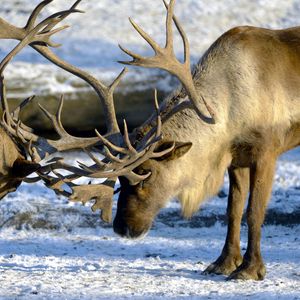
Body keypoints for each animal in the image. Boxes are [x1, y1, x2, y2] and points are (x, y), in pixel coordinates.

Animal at [1, 0, 298, 282]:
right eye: (121, 180)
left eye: (147, 174)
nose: (122, 228)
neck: (229, 110)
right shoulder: (235, 158)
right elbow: (233, 211)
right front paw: (223, 263)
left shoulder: (266, 151)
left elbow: (254, 212)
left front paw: (251, 269)